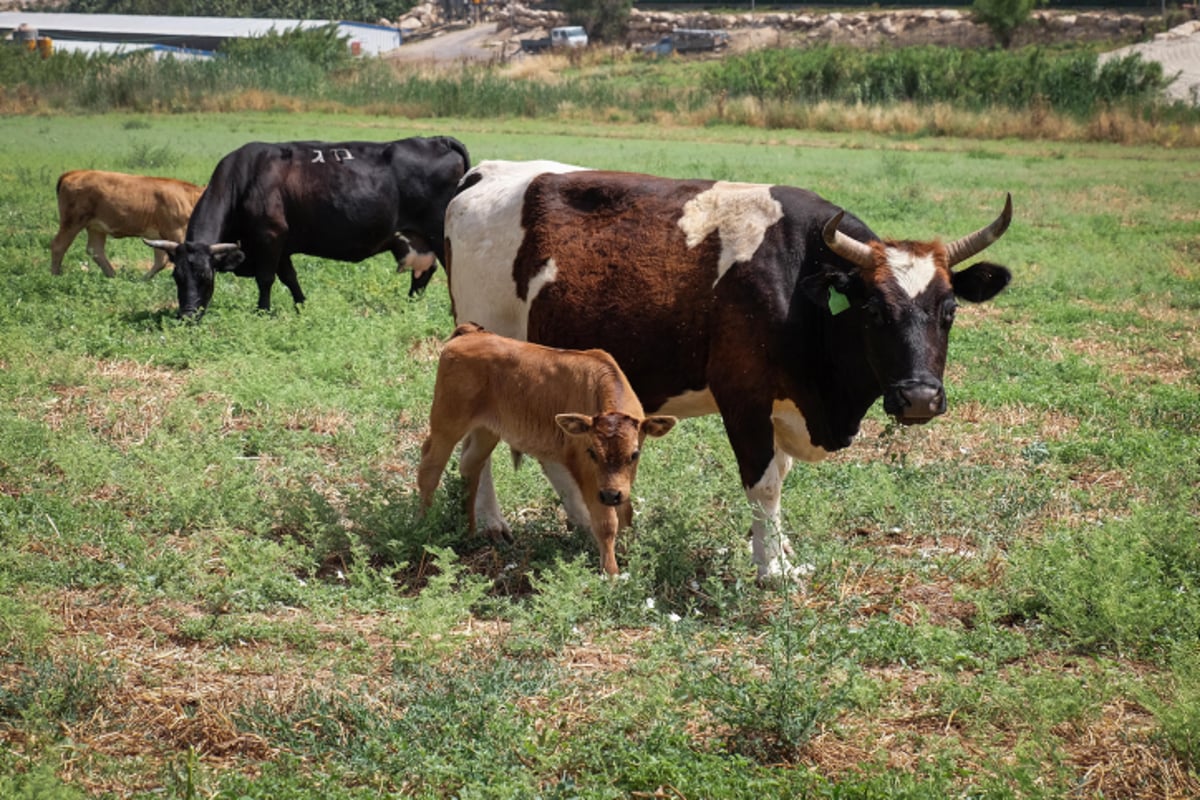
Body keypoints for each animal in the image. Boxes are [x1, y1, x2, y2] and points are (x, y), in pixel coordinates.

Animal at [51, 170, 205, 280]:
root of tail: (75, 172)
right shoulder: (175, 231)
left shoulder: (159, 235)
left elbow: (160, 260)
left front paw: (142, 280)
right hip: (72, 221)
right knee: (59, 246)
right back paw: (55, 276)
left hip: (95, 227)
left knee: (95, 250)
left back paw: (113, 276)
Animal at [144, 137, 468, 316]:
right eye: (177, 277)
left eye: (206, 276)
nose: (187, 316)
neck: (244, 179)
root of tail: (437, 139)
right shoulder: (281, 244)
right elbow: (289, 277)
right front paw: (301, 305)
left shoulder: (268, 237)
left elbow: (265, 278)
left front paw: (262, 311)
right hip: (416, 239)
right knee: (424, 273)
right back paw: (411, 304)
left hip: (440, 234)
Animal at [420, 321, 681, 573]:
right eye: (592, 453)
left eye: (634, 454)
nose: (610, 495)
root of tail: (470, 334)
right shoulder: (588, 474)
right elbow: (606, 523)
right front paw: (612, 574)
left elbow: (625, 513)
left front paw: (627, 555)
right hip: (447, 423)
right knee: (430, 468)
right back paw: (426, 525)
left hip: (487, 430)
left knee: (470, 465)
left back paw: (470, 531)